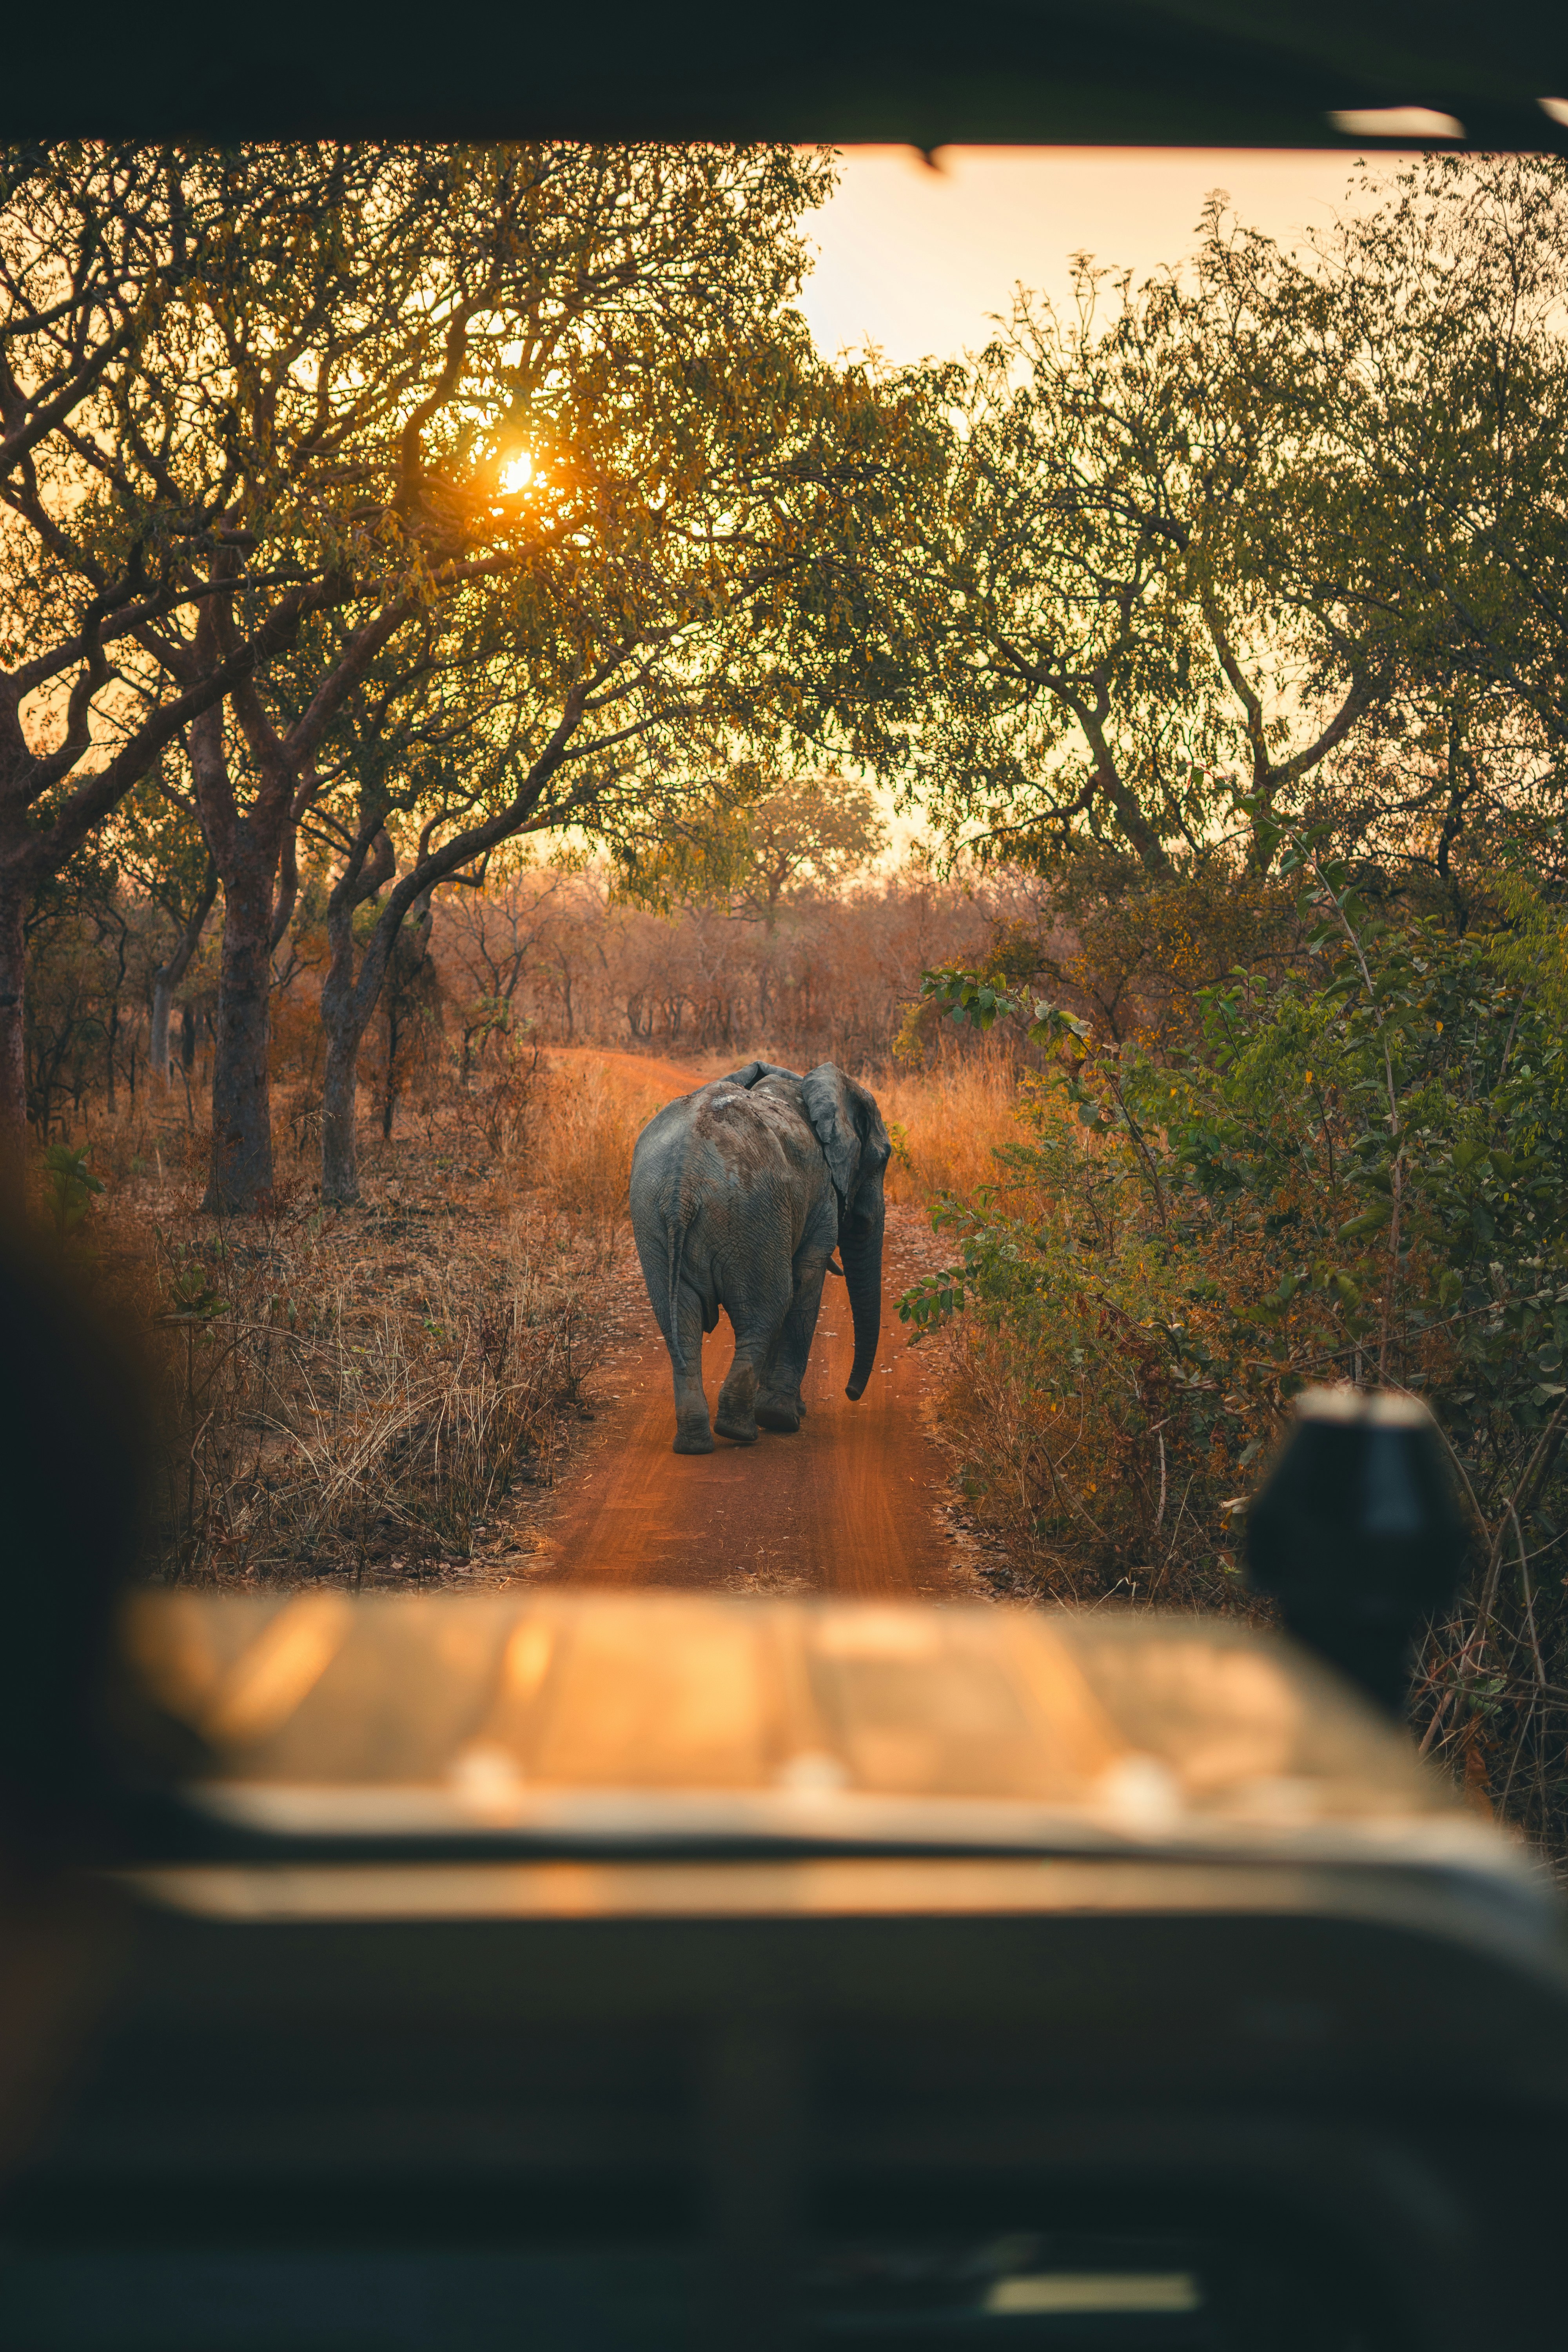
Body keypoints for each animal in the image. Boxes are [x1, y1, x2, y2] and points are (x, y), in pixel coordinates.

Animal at [628, 1059, 891, 1454]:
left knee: (680, 1322)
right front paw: (785, 1417)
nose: (851, 1393)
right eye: (883, 1158)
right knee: (767, 1308)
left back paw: (695, 1444)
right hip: (752, 1212)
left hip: (653, 1218)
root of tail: (683, 1181)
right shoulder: (820, 1197)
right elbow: (807, 1281)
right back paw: (744, 1430)